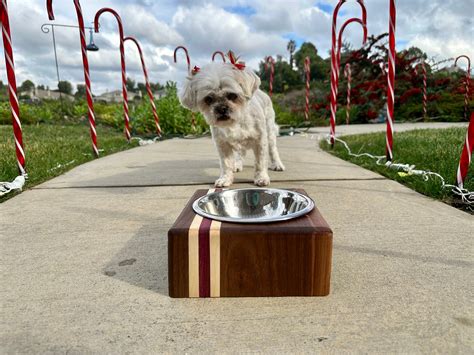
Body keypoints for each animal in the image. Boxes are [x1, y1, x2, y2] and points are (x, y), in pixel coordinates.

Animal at [177, 52, 282, 189]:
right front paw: (225, 179)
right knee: (240, 153)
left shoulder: (260, 141)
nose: (221, 108)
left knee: (273, 150)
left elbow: (260, 162)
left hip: (269, 132)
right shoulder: (222, 145)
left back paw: (277, 164)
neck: (235, 122)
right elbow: (226, 164)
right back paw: (237, 165)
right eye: (208, 99)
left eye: (232, 96)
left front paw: (261, 178)